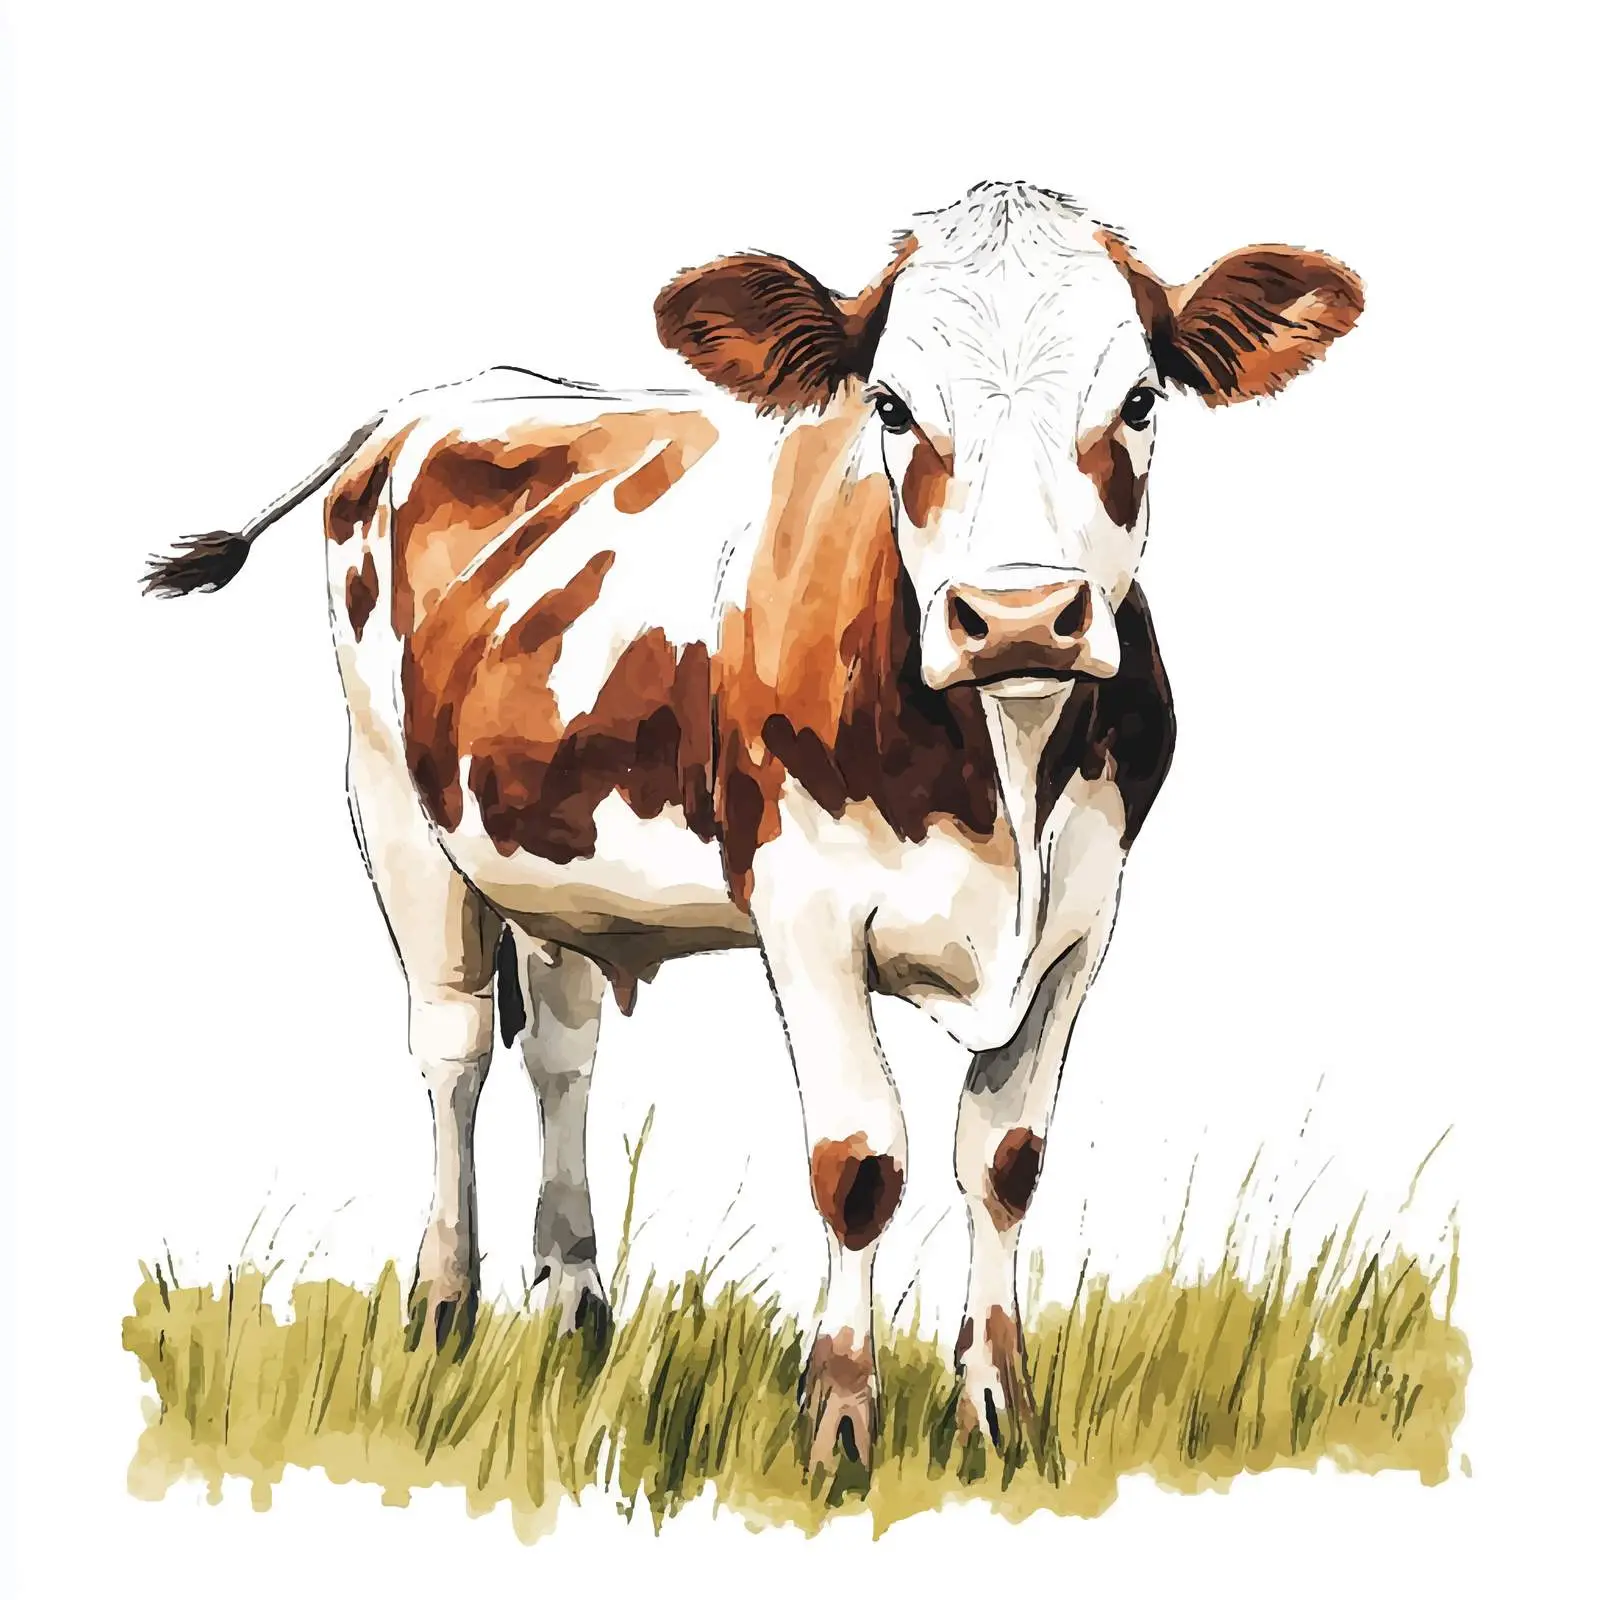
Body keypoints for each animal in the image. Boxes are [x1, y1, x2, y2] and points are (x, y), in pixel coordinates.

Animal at [144, 180, 1362, 1469]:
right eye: (890, 405)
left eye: (1137, 400)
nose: (1021, 615)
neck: (1004, 778)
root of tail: (435, 397)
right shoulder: (805, 909)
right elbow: (860, 1163)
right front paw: (838, 1428)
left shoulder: (1083, 918)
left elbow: (1005, 1161)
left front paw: (999, 1418)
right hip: (391, 808)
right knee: (454, 1050)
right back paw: (441, 1314)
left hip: (552, 859)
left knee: (562, 1051)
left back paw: (575, 1312)